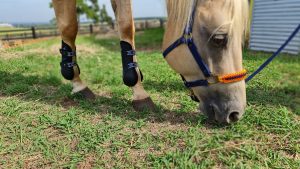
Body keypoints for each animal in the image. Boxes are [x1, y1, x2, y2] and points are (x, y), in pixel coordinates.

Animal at [51, 0, 248, 124]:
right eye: (219, 39)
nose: (235, 113)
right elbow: (69, 26)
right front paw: (76, 82)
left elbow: (126, 25)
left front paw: (138, 92)